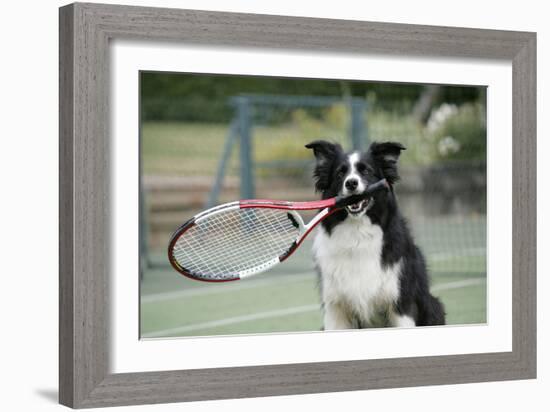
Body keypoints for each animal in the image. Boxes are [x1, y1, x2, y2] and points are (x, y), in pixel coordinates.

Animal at [308, 140, 446, 330]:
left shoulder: (401, 304)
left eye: (366, 171)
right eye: (340, 173)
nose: (351, 183)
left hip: (433, 307)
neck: (357, 234)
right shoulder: (336, 309)